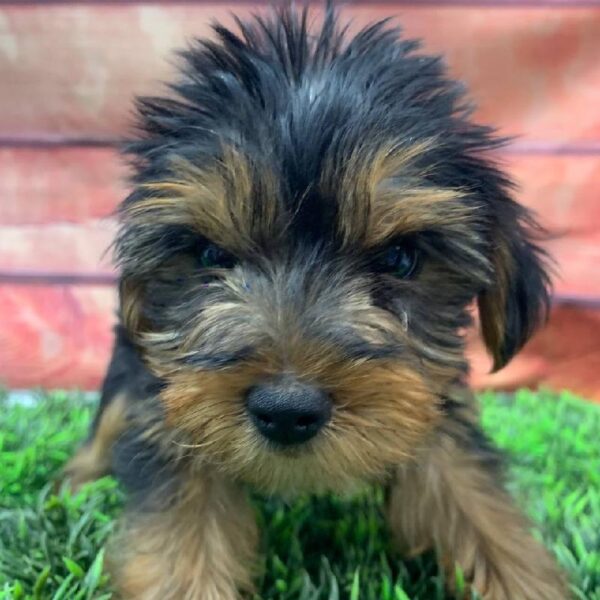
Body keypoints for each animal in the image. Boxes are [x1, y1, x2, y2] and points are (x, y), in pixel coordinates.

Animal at [65, 5, 568, 600]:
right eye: (211, 254)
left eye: (400, 258)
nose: (286, 409)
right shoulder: (168, 411)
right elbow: (181, 542)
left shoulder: (438, 409)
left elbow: (479, 507)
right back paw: (76, 480)